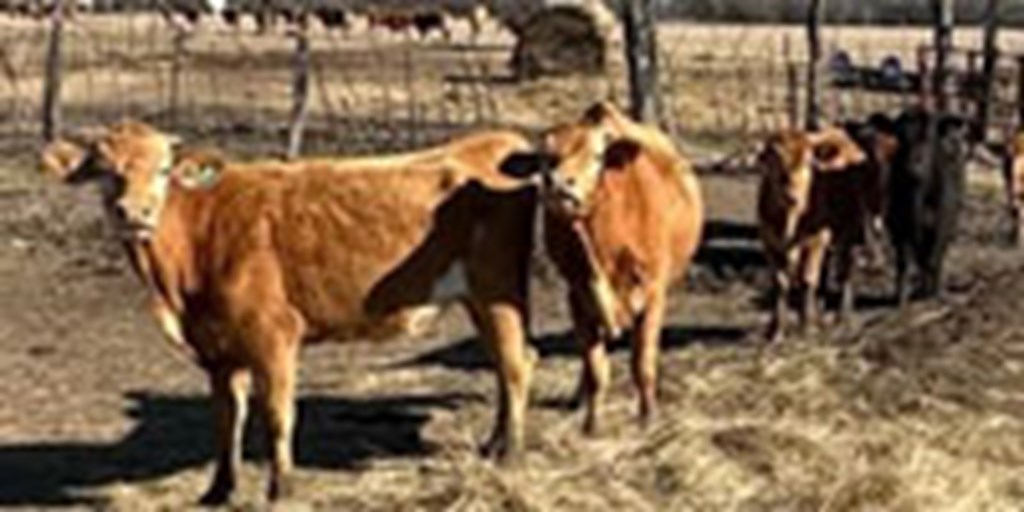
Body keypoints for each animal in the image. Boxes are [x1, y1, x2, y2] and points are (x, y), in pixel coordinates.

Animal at [41, 122, 536, 503]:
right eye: (105, 171)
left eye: (163, 169)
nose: (134, 212)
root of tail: (493, 141)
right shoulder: (217, 352)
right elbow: (227, 420)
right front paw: (218, 490)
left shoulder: (273, 335)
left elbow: (278, 416)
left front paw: (282, 489)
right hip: (479, 299)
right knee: (504, 364)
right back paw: (493, 445)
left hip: (497, 289)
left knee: (515, 365)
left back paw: (511, 453)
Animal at [503, 101, 704, 434]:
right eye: (547, 158)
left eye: (597, 155)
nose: (559, 184)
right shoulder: (578, 297)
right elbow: (596, 368)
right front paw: (591, 422)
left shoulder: (653, 295)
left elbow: (642, 363)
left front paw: (648, 416)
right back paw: (579, 397)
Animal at [757, 125, 884, 339]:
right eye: (775, 160)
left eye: (808, 162)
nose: (791, 196)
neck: (789, 219)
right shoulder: (769, 243)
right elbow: (779, 283)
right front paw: (776, 329)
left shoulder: (814, 239)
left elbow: (807, 280)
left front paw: (807, 326)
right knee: (824, 271)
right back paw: (820, 310)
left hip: (851, 229)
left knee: (845, 271)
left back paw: (843, 317)